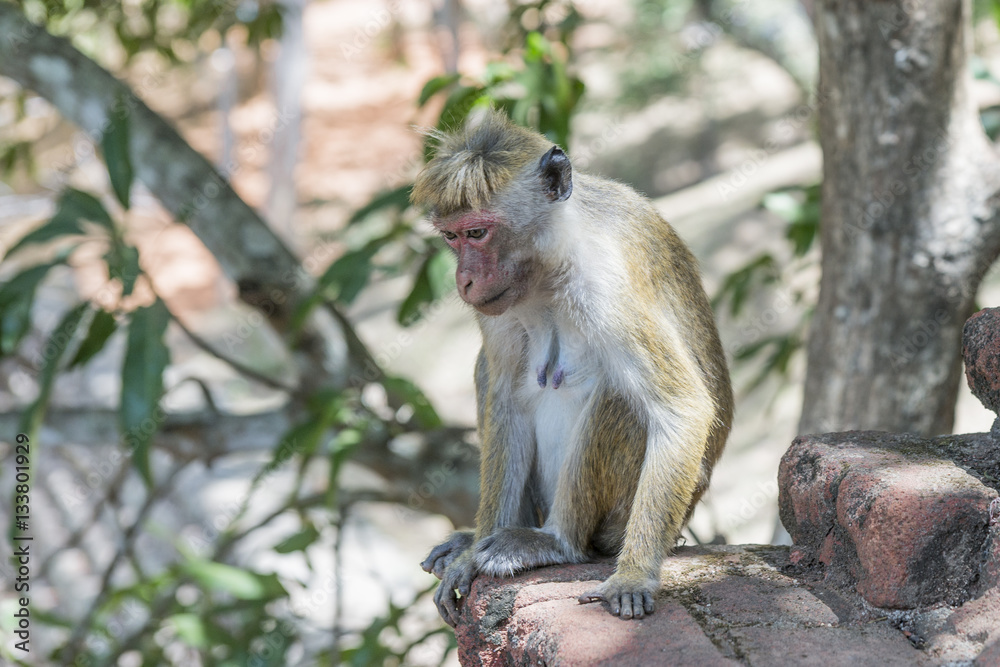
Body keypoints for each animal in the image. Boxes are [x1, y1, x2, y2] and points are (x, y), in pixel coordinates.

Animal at [414, 109, 736, 628]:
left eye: (478, 233)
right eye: (451, 236)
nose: (464, 281)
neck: (550, 265)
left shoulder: (608, 285)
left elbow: (681, 408)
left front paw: (634, 576)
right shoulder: (496, 308)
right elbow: (505, 396)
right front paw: (468, 558)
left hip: (621, 521)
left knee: (618, 392)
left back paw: (557, 542)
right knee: (489, 372)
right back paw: (481, 536)